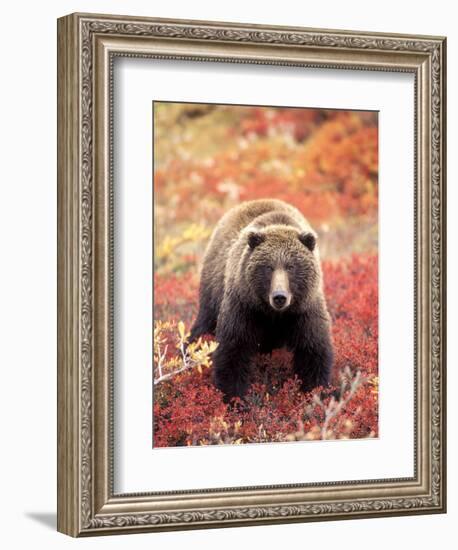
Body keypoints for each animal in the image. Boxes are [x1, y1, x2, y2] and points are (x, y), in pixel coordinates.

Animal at [190, 198, 332, 402]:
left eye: (291, 267)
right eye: (268, 267)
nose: (279, 297)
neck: (274, 314)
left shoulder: (304, 310)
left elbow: (313, 351)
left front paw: (316, 393)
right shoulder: (244, 306)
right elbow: (233, 350)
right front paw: (235, 398)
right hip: (213, 288)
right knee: (204, 324)